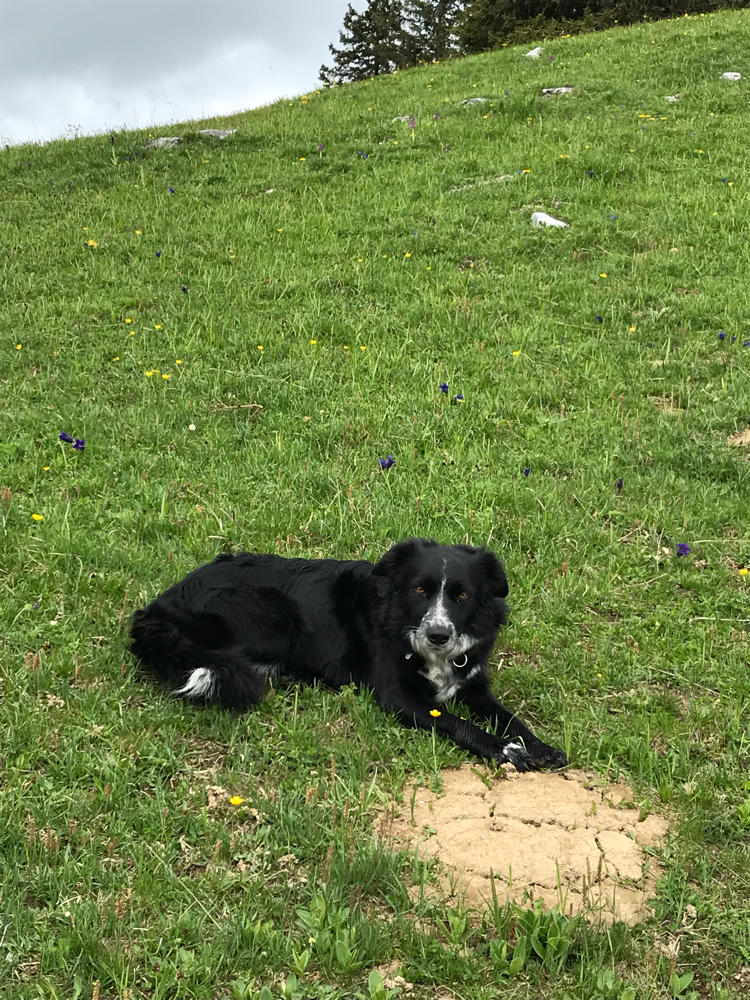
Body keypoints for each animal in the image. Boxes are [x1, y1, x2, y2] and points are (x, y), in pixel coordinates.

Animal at [130, 538, 567, 772]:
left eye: (461, 595)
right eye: (420, 590)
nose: (439, 635)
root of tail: (158, 607)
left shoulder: (474, 684)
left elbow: (511, 717)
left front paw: (538, 746)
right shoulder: (398, 696)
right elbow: (457, 723)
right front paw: (505, 750)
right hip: (272, 615)